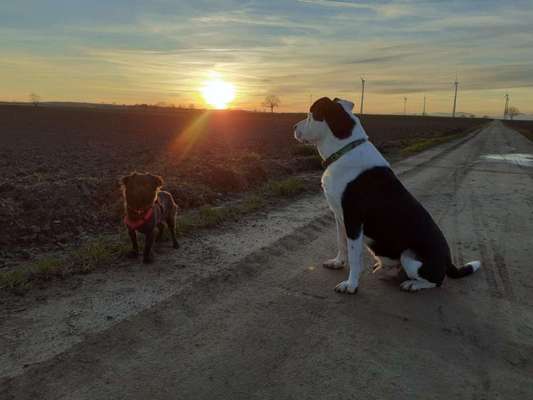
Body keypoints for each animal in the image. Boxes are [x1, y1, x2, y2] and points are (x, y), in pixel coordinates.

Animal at [294, 95, 480, 292]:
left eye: (310, 115)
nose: (294, 128)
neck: (345, 150)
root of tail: (448, 260)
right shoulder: (339, 216)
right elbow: (341, 243)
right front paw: (338, 263)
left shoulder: (353, 219)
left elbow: (354, 256)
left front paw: (351, 285)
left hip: (409, 256)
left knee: (436, 281)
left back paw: (412, 284)